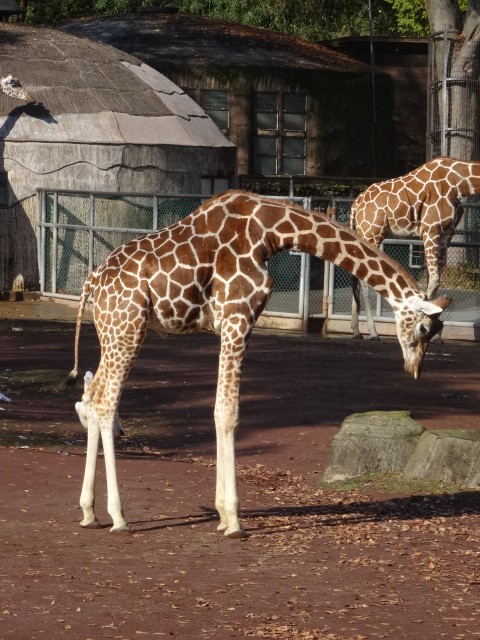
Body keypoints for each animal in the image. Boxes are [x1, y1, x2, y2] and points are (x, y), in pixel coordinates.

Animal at [68, 190, 449, 537]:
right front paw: (234, 520)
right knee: (105, 402)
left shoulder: (231, 324)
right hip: (128, 329)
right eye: (424, 328)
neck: (271, 232)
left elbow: (219, 410)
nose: (414, 368)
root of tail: (91, 282)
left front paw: (222, 515)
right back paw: (118, 517)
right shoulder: (237, 317)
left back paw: (88, 511)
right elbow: (228, 413)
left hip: (111, 333)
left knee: (89, 397)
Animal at [350, 157, 480, 339]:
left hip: (366, 233)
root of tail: (356, 204)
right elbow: (434, 281)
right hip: (371, 233)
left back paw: (356, 330)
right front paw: (424, 327)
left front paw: (435, 335)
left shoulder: (446, 236)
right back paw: (373, 332)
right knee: (363, 276)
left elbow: (434, 279)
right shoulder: (430, 230)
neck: (460, 183)